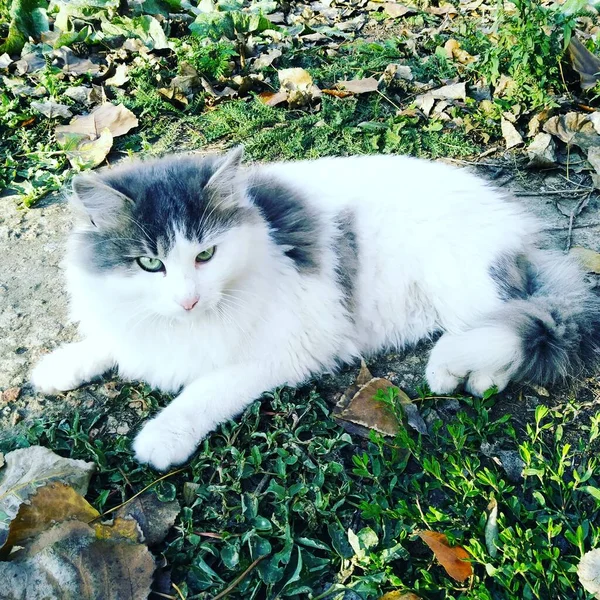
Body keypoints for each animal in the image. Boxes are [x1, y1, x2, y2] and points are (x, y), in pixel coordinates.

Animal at [30, 148, 600, 472]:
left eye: (205, 255)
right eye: (150, 264)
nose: (187, 298)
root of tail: (519, 231)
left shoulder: (283, 351)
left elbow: (204, 391)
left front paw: (163, 436)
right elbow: (110, 341)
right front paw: (60, 367)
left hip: (460, 280)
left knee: (516, 322)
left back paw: (457, 371)